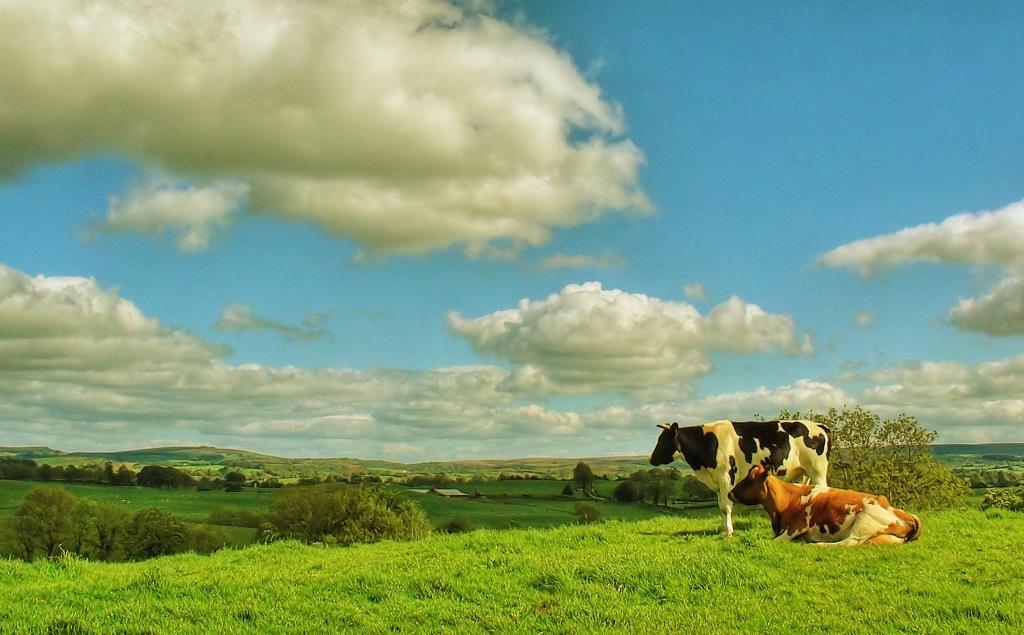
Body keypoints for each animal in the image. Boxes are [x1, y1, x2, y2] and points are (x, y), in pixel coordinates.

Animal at [647, 421, 831, 536]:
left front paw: (728, 531)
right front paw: (722, 528)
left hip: (817, 470)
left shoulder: (726, 476)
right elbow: (720, 505)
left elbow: (726, 507)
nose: (651, 459)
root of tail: (819, 425)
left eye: (663, 440)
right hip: (802, 474)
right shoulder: (717, 481)